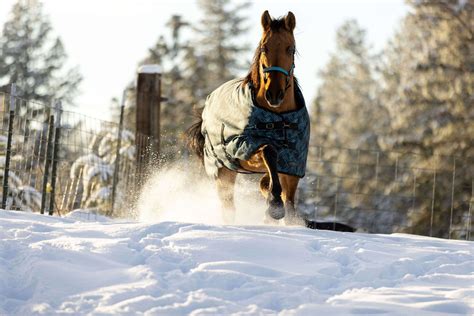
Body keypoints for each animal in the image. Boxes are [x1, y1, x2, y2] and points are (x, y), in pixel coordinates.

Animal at [189, 10, 312, 225]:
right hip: (223, 171)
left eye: (290, 49)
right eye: (264, 47)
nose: (274, 94)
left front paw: (275, 209)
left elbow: (288, 202)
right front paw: (274, 205)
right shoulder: (245, 147)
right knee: (228, 208)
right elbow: (269, 150)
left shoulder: (294, 164)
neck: (279, 118)